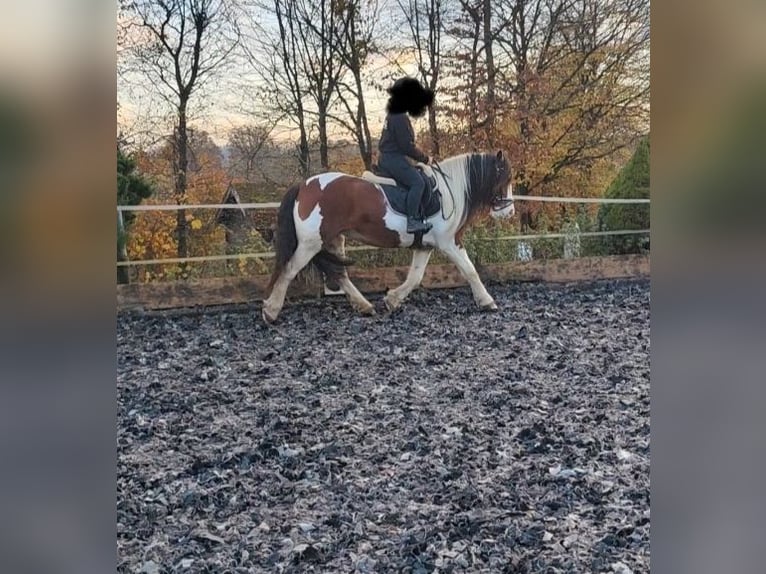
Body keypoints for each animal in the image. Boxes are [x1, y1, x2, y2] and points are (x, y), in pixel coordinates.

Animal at [260, 150, 520, 324]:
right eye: (505, 178)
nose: (509, 212)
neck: (449, 191)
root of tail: (304, 185)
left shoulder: (425, 246)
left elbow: (415, 277)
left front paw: (392, 300)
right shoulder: (449, 243)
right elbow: (470, 270)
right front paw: (487, 301)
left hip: (333, 240)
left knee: (339, 273)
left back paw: (364, 306)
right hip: (311, 243)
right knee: (289, 269)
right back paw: (270, 311)